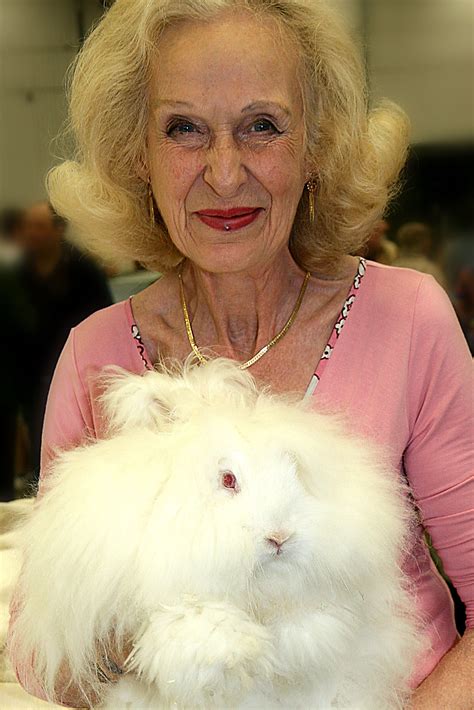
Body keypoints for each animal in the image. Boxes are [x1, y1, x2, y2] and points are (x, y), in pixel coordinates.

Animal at [11, 362, 422, 710]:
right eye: (228, 480)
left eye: (295, 472)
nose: (279, 538)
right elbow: (197, 626)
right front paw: (242, 651)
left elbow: (314, 622)